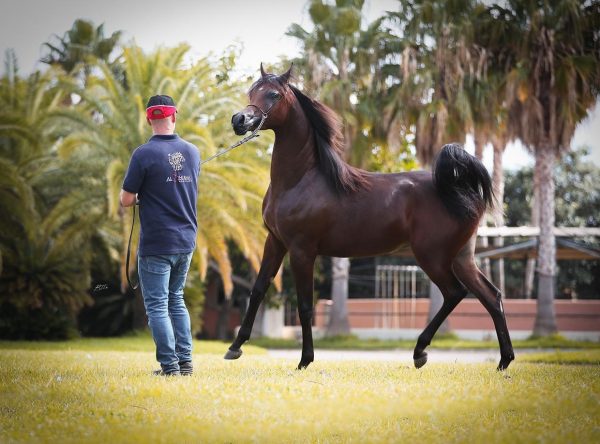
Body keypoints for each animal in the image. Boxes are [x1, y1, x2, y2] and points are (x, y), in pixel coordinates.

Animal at [225, 65, 516, 372]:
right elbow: (258, 289)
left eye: (274, 94)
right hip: (461, 258)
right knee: (491, 296)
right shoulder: (276, 241)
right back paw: (503, 360)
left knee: (454, 293)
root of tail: (458, 189)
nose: (239, 119)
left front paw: (305, 360)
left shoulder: (302, 250)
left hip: (432, 257)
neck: (300, 180)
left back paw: (420, 352)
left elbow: (305, 305)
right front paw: (235, 347)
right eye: (252, 91)